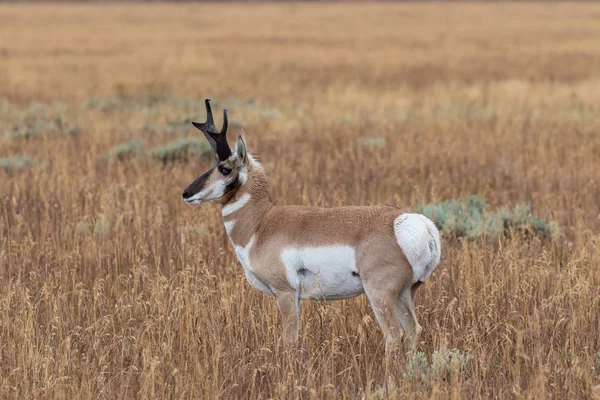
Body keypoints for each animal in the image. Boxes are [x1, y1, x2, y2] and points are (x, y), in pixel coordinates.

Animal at [183, 99, 440, 354]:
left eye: (224, 168)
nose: (186, 193)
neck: (261, 223)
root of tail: (416, 224)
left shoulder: (285, 293)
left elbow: (290, 341)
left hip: (380, 293)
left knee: (394, 335)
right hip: (404, 293)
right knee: (413, 330)